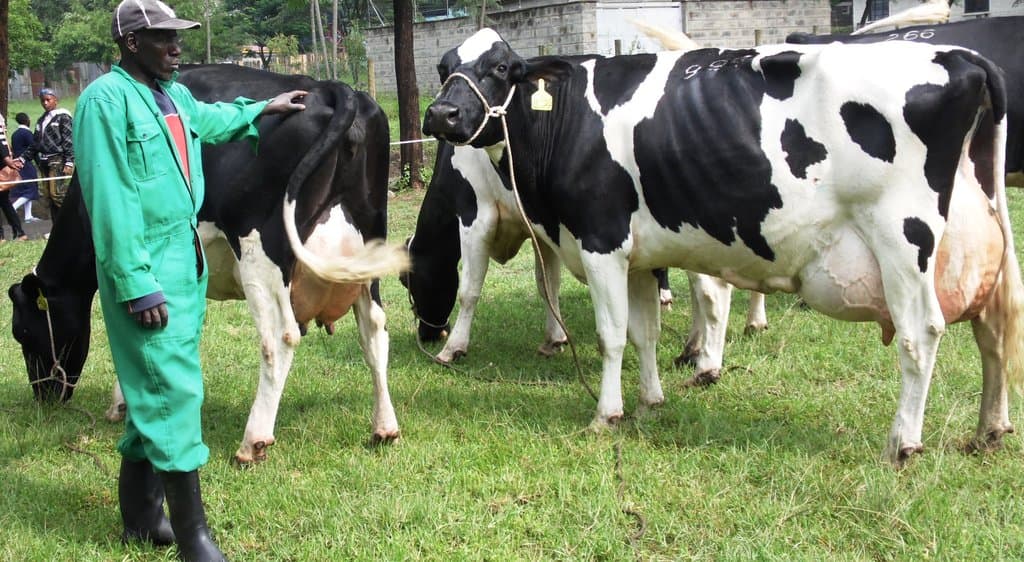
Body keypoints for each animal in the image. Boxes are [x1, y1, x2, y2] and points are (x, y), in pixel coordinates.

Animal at [8, 64, 409, 465]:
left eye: (23, 333)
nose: (44, 396)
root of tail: (330, 87)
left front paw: (126, 404)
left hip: (260, 251)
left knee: (280, 337)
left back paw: (253, 441)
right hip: (368, 250)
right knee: (374, 329)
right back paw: (385, 428)